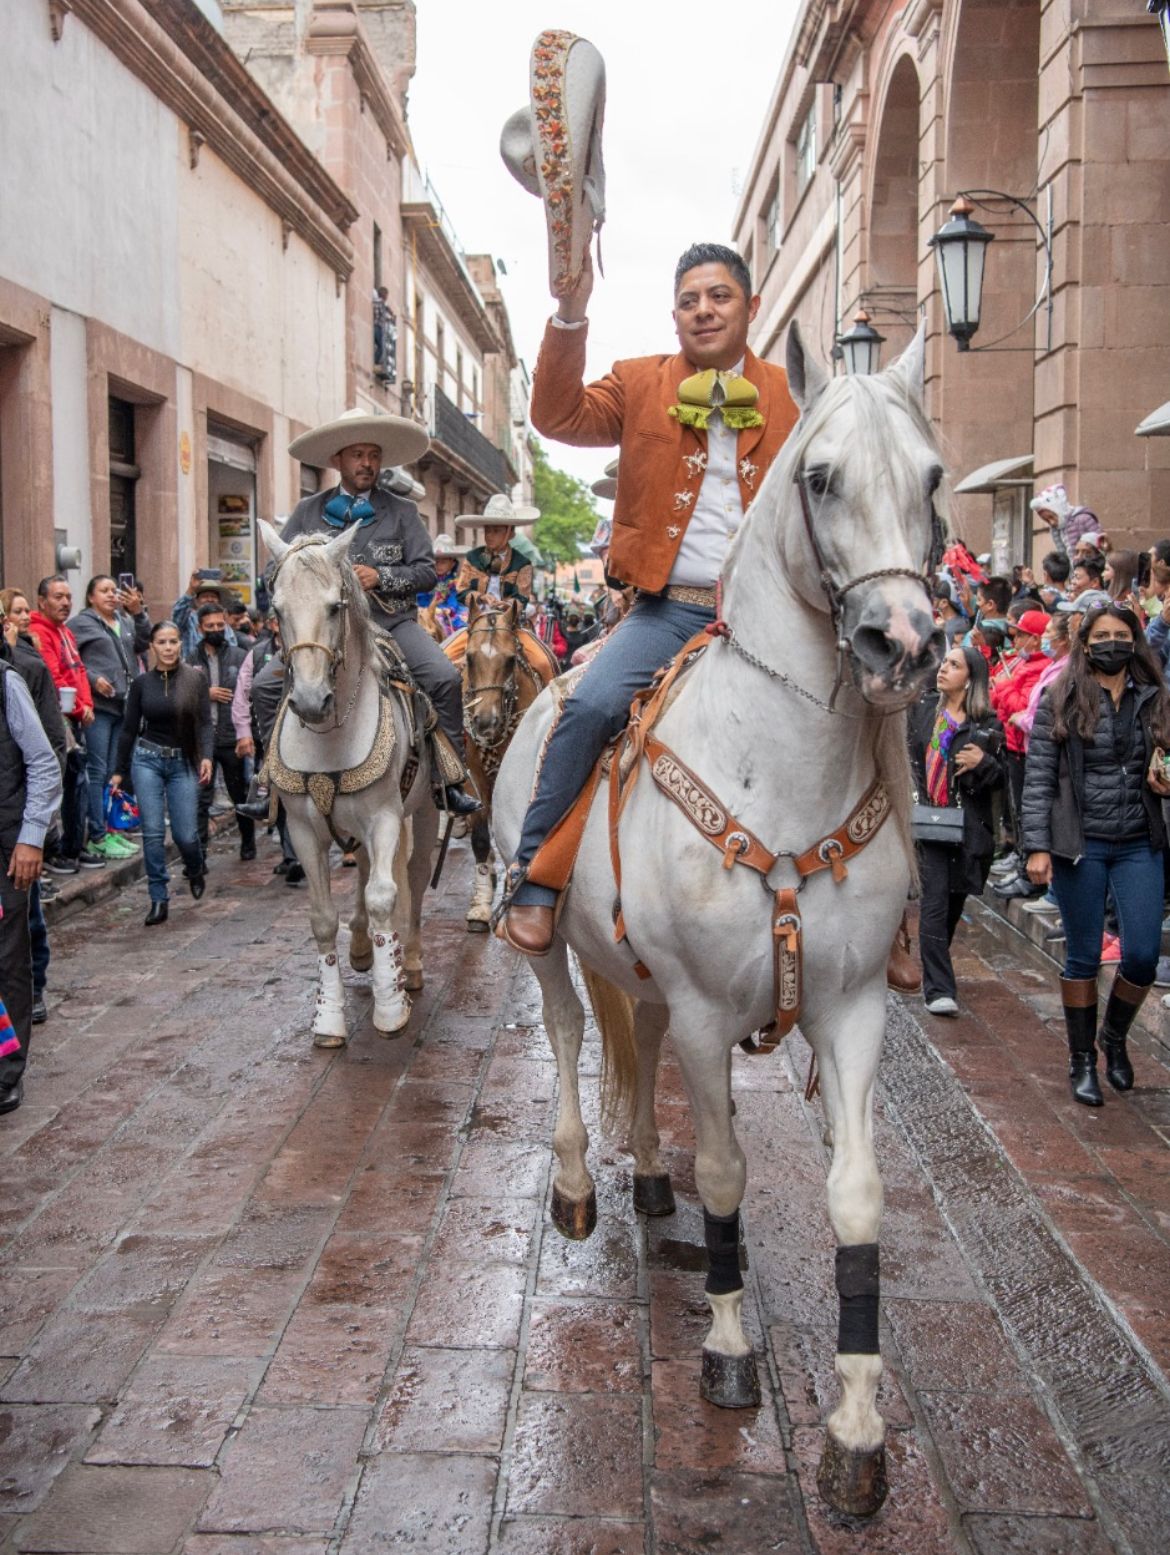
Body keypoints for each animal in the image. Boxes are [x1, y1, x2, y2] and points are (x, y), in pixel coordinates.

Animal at [258, 519, 435, 1044]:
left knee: (412, 877)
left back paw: (407, 962)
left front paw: (390, 1005)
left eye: (335, 606)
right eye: (277, 610)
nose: (310, 701)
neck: (330, 734)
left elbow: (383, 897)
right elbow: (322, 918)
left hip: (423, 809)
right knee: (366, 873)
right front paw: (328, 1018)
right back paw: (361, 949)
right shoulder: (303, 829)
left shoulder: (385, 817)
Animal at [444, 597, 560, 926]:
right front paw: (482, 902)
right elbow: (482, 835)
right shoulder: (473, 769)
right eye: (470, 659)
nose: (486, 721)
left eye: (509, 660)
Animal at [491, 321, 939, 1511]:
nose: (902, 642)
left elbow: (858, 1198)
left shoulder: (851, 1005)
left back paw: (649, 1175)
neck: (786, 768)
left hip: (643, 975)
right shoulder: (704, 1011)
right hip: (547, 942)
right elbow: (730, 1174)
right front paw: (730, 1347)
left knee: (632, 1044)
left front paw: (857, 1430)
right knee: (569, 1035)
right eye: (821, 478)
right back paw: (576, 1187)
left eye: (932, 479)